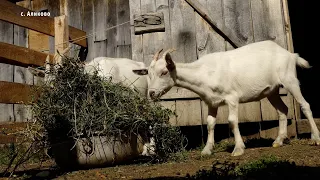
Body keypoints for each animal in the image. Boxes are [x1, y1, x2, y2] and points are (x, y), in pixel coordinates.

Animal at [132, 40, 320, 156]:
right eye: (148, 74)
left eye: (164, 72)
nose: (152, 93)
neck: (205, 72)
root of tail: (290, 54)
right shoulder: (211, 102)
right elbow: (209, 124)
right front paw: (207, 150)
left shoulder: (232, 98)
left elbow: (232, 121)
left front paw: (238, 148)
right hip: (271, 91)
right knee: (282, 110)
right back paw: (279, 141)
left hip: (290, 79)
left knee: (305, 105)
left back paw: (315, 138)